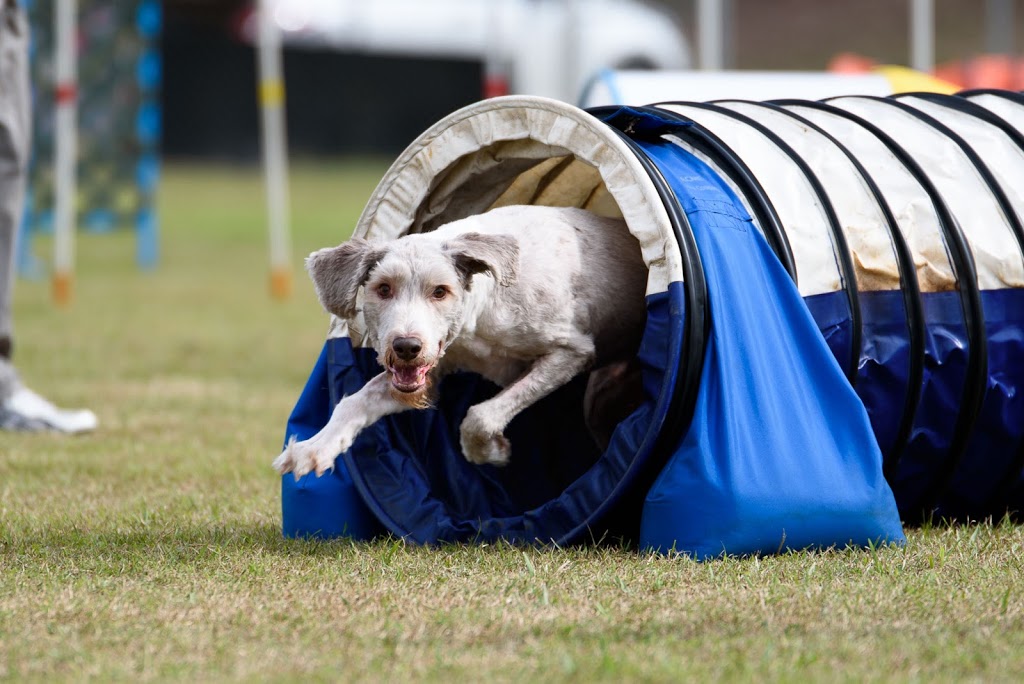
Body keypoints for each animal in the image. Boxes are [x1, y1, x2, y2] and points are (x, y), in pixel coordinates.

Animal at [272, 205, 647, 479]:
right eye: (383, 288)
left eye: (440, 291)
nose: (406, 347)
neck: (480, 318)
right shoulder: (431, 370)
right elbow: (354, 402)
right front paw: (312, 449)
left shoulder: (571, 351)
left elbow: (480, 415)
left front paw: (490, 453)